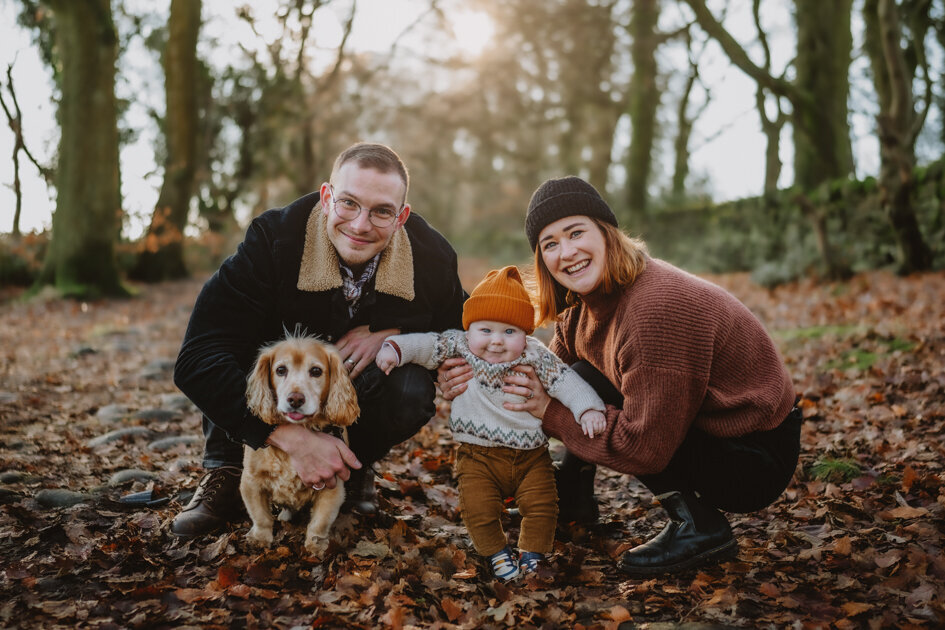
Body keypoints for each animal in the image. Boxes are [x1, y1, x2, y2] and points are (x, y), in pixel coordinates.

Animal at [242, 336, 360, 556]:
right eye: (281, 370)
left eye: (316, 371)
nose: (295, 399)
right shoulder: (251, 481)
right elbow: (260, 516)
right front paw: (260, 538)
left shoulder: (333, 486)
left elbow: (320, 523)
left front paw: (316, 546)